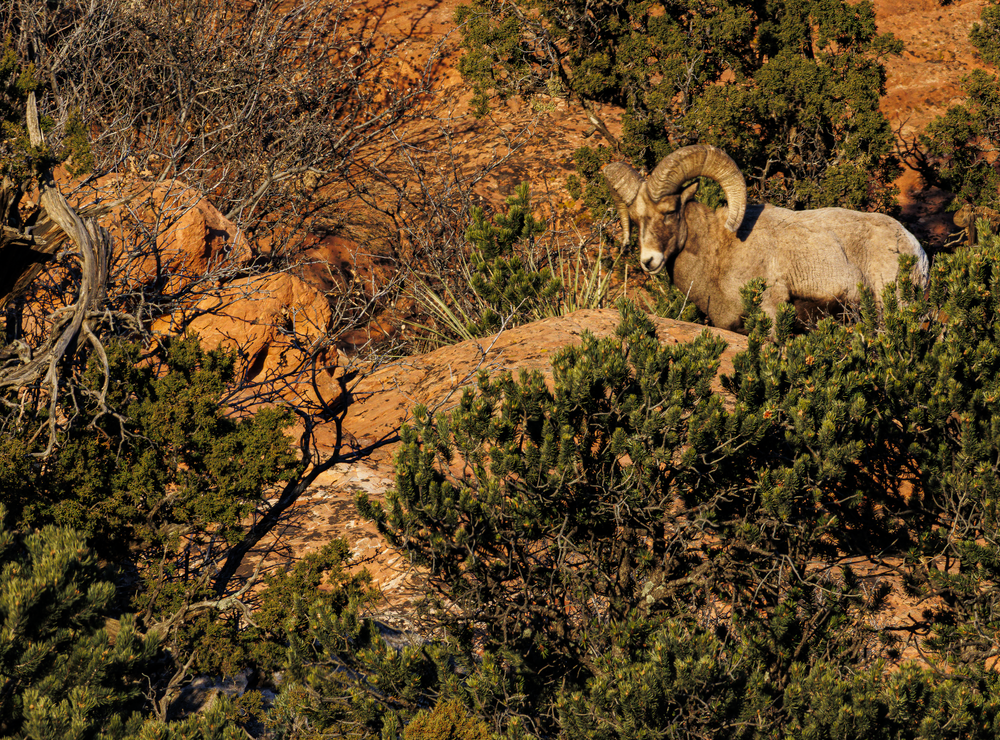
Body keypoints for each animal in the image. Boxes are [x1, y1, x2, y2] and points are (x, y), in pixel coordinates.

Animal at [603, 144, 930, 333]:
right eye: (636, 218)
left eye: (670, 211)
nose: (649, 261)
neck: (719, 252)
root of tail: (916, 251)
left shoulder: (770, 312)